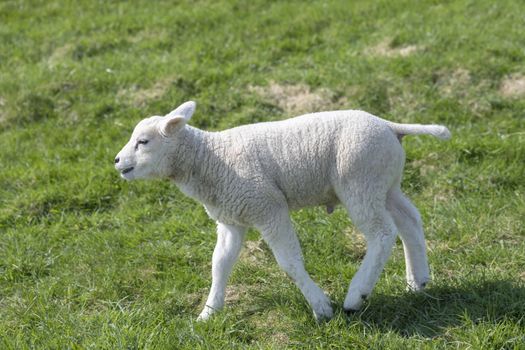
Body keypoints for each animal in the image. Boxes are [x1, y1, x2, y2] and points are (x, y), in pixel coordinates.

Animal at [112, 100, 448, 322]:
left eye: (143, 142)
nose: (116, 161)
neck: (210, 159)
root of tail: (389, 125)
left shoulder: (268, 207)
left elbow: (288, 262)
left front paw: (321, 307)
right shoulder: (232, 218)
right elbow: (220, 264)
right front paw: (208, 313)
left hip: (359, 180)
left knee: (382, 233)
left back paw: (356, 295)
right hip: (384, 182)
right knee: (409, 220)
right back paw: (417, 282)